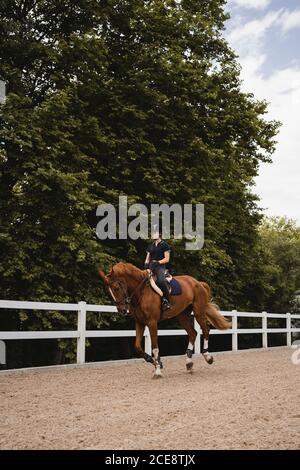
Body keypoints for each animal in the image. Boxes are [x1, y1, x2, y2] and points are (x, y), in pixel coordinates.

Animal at [98, 260, 230, 378]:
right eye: (108, 292)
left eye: (116, 288)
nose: (122, 311)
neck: (140, 293)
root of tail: (198, 282)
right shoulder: (140, 323)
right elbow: (137, 347)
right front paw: (157, 363)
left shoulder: (152, 322)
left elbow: (155, 347)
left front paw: (157, 371)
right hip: (182, 315)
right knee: (193, 333)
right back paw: (189, 363)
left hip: (198, 312)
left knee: (205, 330)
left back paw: (208, 357)